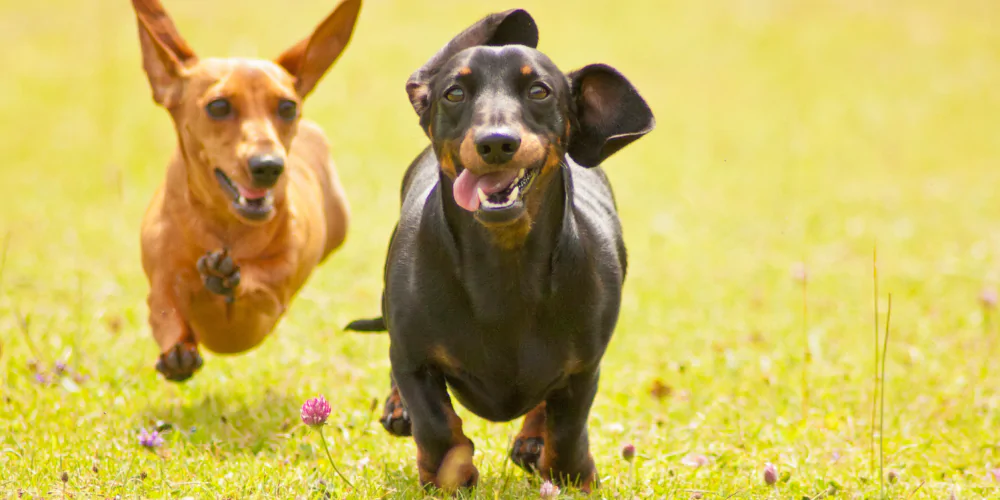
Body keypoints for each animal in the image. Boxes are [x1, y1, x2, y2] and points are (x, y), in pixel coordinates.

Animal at [131, 0, 362, 380]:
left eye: (288, 107)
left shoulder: (269, 304)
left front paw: (227, 276)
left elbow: (258, 281)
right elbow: (166, 309)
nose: (269, 166)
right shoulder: (161, 287)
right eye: (218, 106)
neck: (226, 227)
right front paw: (178, 349)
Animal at [346, 7, 656, 492]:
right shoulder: (413, 357)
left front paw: (570, 475)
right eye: (454, 92)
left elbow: (567, 427)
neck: (503, 269)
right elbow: (436, 424)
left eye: (539, 90)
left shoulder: (584, 368)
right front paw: (449, 475)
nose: (496, 143)